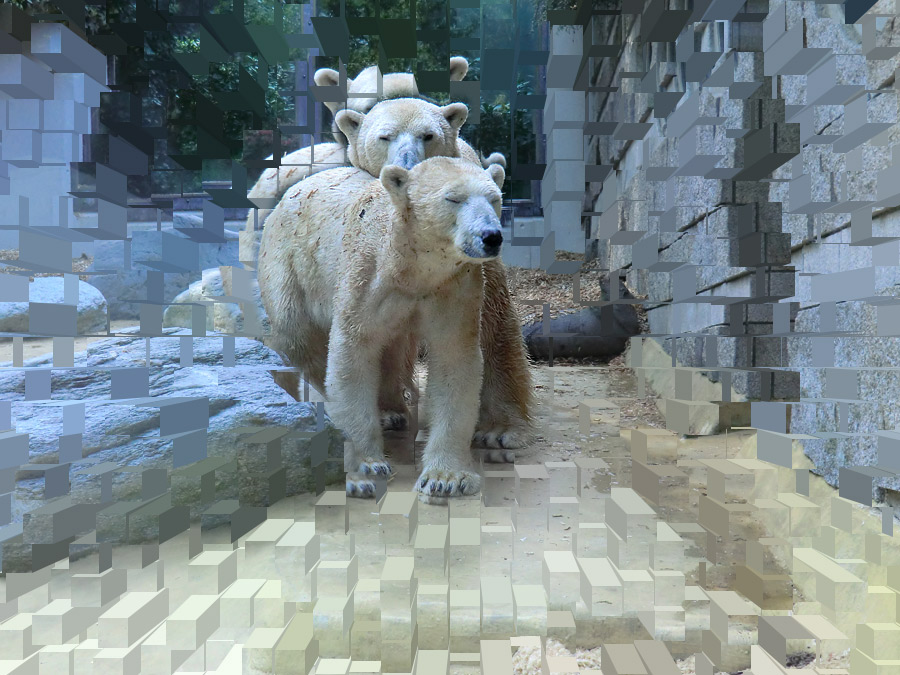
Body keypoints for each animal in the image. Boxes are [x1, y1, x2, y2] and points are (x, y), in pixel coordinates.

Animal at [256, 157, 506, 496]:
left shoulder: (453, 289)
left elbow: (454, 358)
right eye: (453, 198)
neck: (408, 268)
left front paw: (446, 477)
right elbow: (353, 353)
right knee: (299, 340)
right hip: (288, 267)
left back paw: (391, 411)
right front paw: (366, 465)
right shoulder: (366, 277)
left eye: (495, 198)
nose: (491, 236)